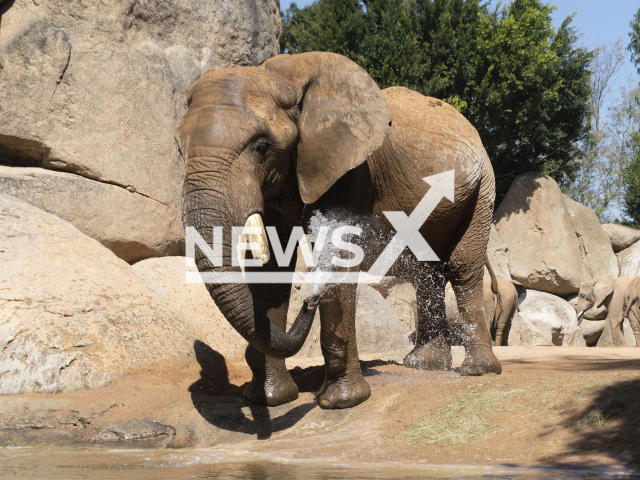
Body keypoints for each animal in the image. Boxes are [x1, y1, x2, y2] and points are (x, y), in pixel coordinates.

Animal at [178, 50, 502, 408]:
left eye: (261, 146)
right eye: (179, 148)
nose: (309, 301)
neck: (281, 76)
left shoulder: (352, 168)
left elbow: (340, 254)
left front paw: (340, 402)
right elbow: (274, 265)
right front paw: (269, 399)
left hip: (483, 186)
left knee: (462, 266)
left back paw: (476, 370)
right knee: (424, 270)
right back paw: (424, 366)